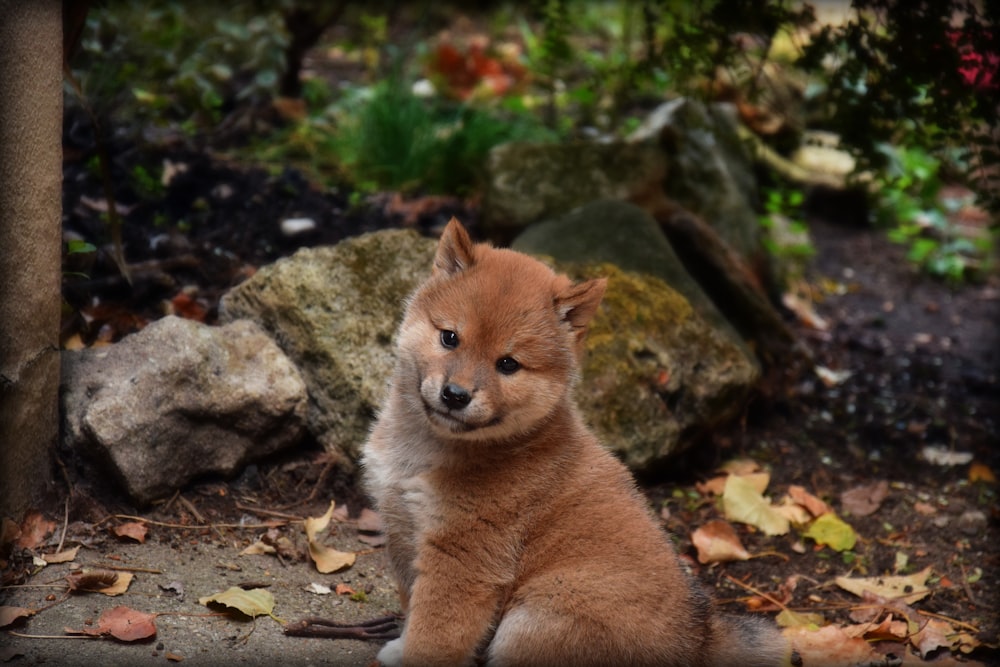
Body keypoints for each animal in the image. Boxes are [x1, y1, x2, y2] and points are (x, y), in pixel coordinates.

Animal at [361, 218, 790, 667]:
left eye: (508, 364)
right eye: (449, 338)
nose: (456, 395)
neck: (425, 450)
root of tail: (696, 642)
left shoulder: (463, 558)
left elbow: (433, 633)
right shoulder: (401, 529)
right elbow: (412, 606)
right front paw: (399, 647)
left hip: (536, 619)